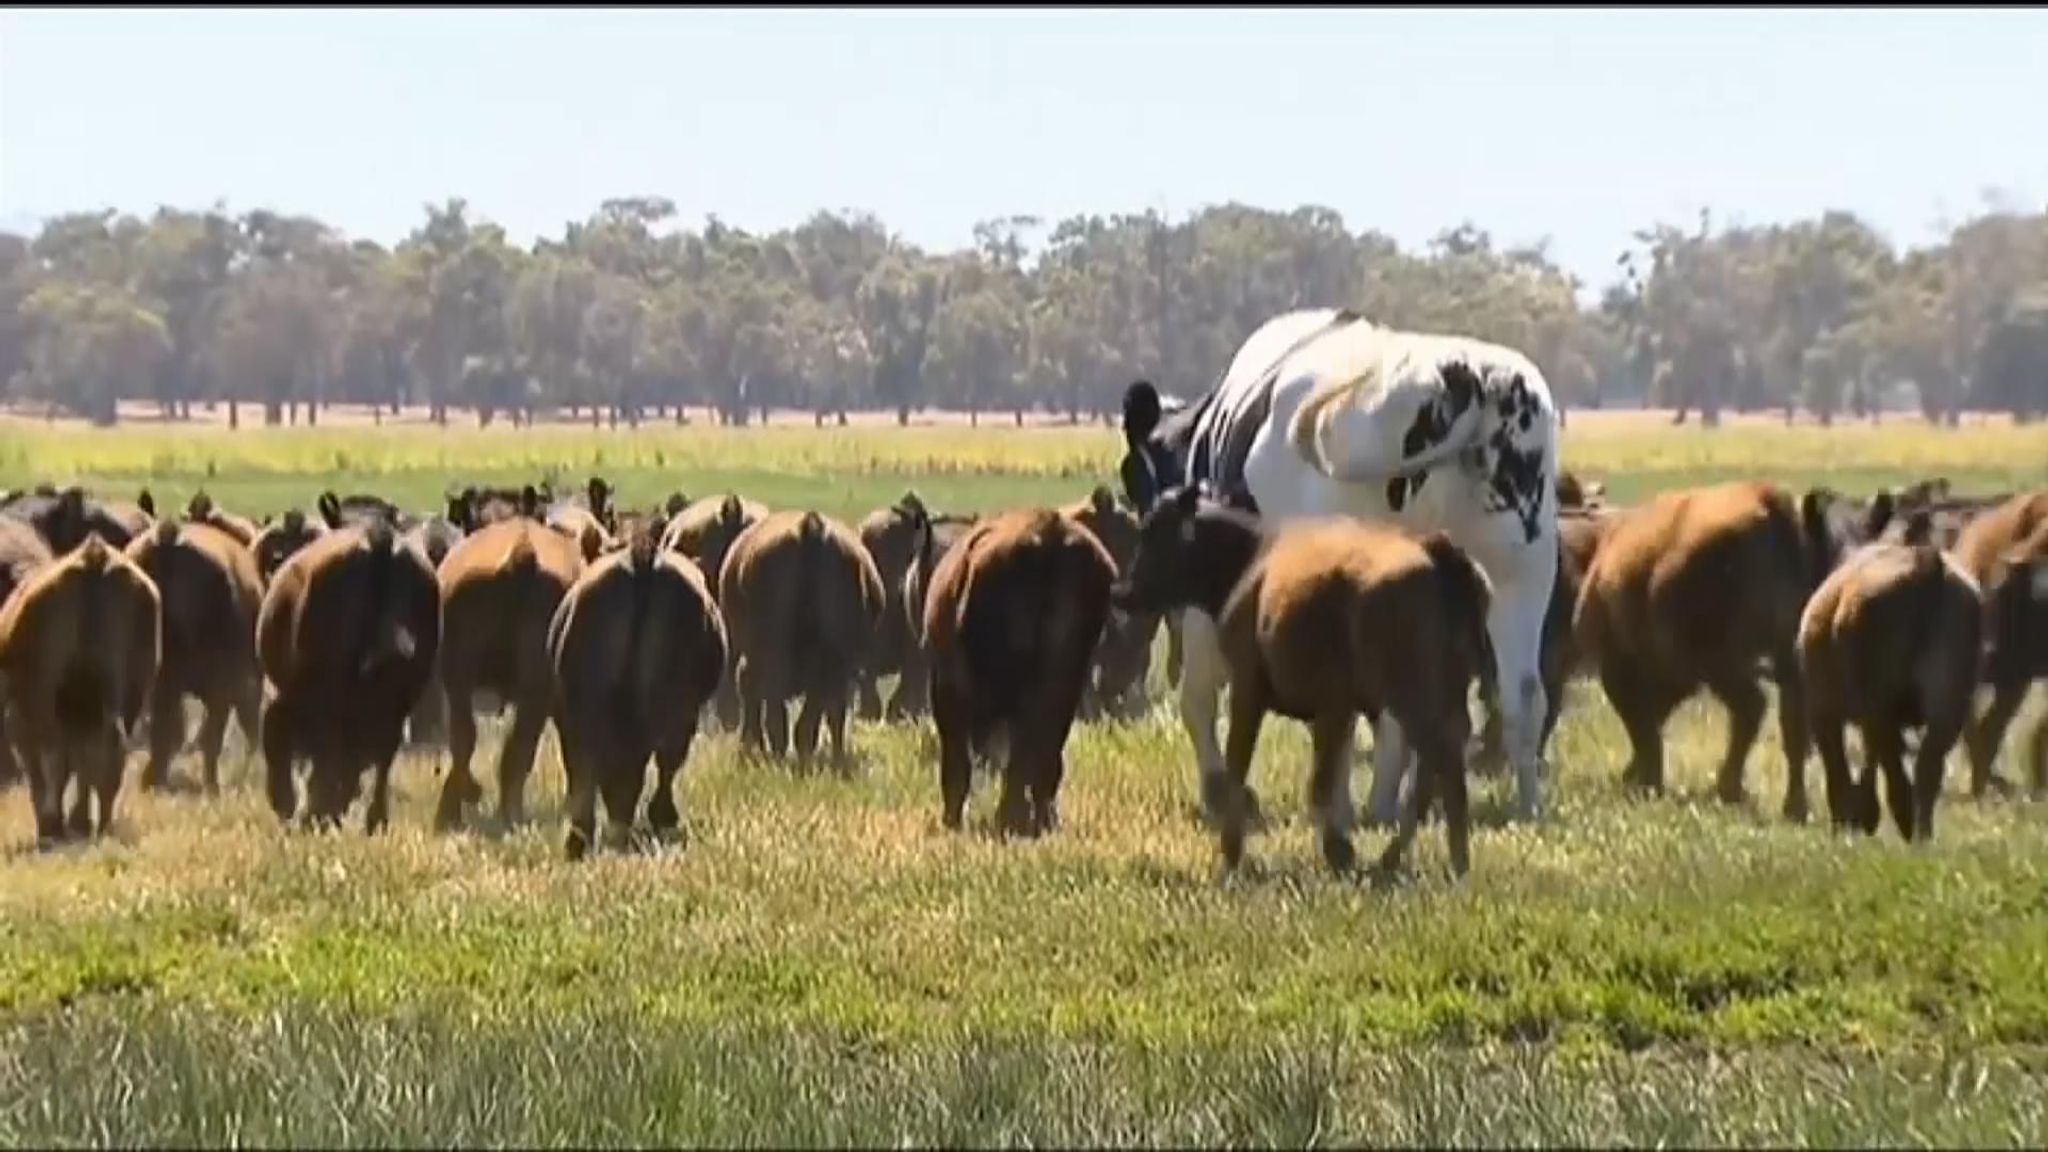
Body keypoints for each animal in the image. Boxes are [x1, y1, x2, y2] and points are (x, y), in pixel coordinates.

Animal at [1110, 485, 1494, 877]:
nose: (1120, 592)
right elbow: (1326, 778)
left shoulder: (1252, 690)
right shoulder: (1334, 710)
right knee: (1437, 769)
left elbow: (1250, 769)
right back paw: (1427, 861)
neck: (1251, 558)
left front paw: (1236, 854)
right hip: (1445, 697)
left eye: (1155, 534)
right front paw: (1338, 847)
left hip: (1413, 699)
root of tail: (1436, 550)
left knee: (1440, 762)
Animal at [1119, 307, 1561, 830]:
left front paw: (1221, 794)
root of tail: (1464, 376)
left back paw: (1352, 807)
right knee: (1520, 694)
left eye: (1131, 475)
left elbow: (1198, 697)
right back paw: (1520, 808)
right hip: (1521, 566)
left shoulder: (1206, 599)